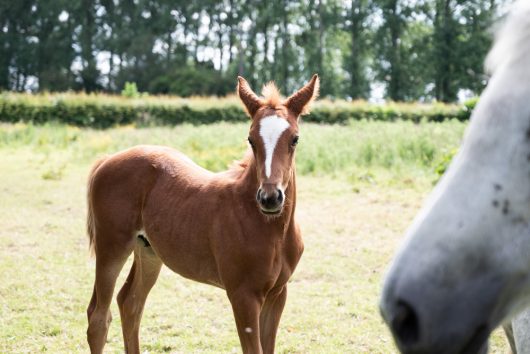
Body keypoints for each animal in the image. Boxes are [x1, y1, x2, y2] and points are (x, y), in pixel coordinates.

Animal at [86, 74, 318, 352]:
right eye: (251, 139)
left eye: (295, 139)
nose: (270, 198)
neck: (273, 230)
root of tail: (106, 160)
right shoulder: (243, 296)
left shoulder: (278, 294)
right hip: (111, 247)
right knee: (98, 317)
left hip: (148, 251)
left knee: (130, 303)